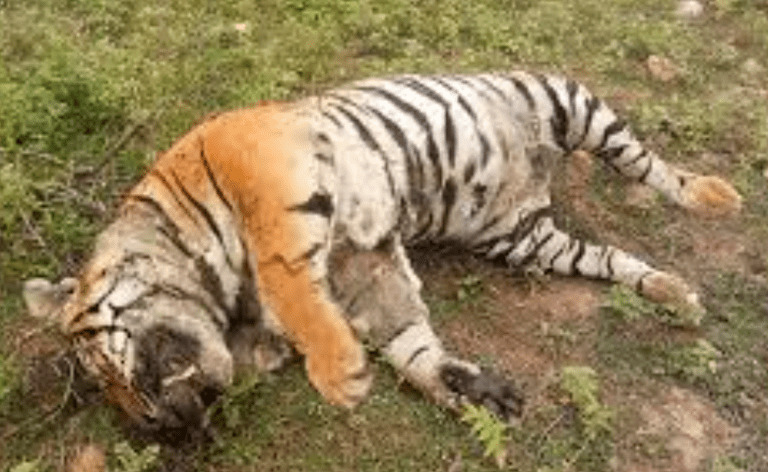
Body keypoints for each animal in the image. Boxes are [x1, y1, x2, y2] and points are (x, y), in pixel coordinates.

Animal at [23, 70, 741, 434]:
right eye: (108, 392)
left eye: (108, 369)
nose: (155, 427)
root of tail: (536, 175)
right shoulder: (361, 265)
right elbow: (408, 342)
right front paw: (472, 391)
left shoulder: (273, 191)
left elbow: (289, 281)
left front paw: (338, 376)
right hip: (526, 239)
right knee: (613, 261)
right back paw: (673, 292)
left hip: (570, 102)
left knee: (649, 165)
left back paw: (714, 196)